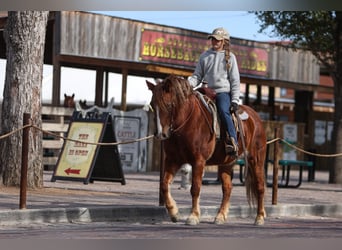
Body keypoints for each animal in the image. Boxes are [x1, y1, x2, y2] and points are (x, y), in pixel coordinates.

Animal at [146, 74, 268, 227]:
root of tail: (256, 118)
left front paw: (193, 216)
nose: (159, 134)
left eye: (168, 105)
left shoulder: (198, 161)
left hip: (256, 159)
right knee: (227, 188)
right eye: (152, 105)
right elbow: (164, 185)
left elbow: (195, 188)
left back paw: (260, 217)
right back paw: (220, 216)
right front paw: (174, 212)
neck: (187, 123)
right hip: (226, 163)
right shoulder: (173, 160)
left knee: (260, 187)